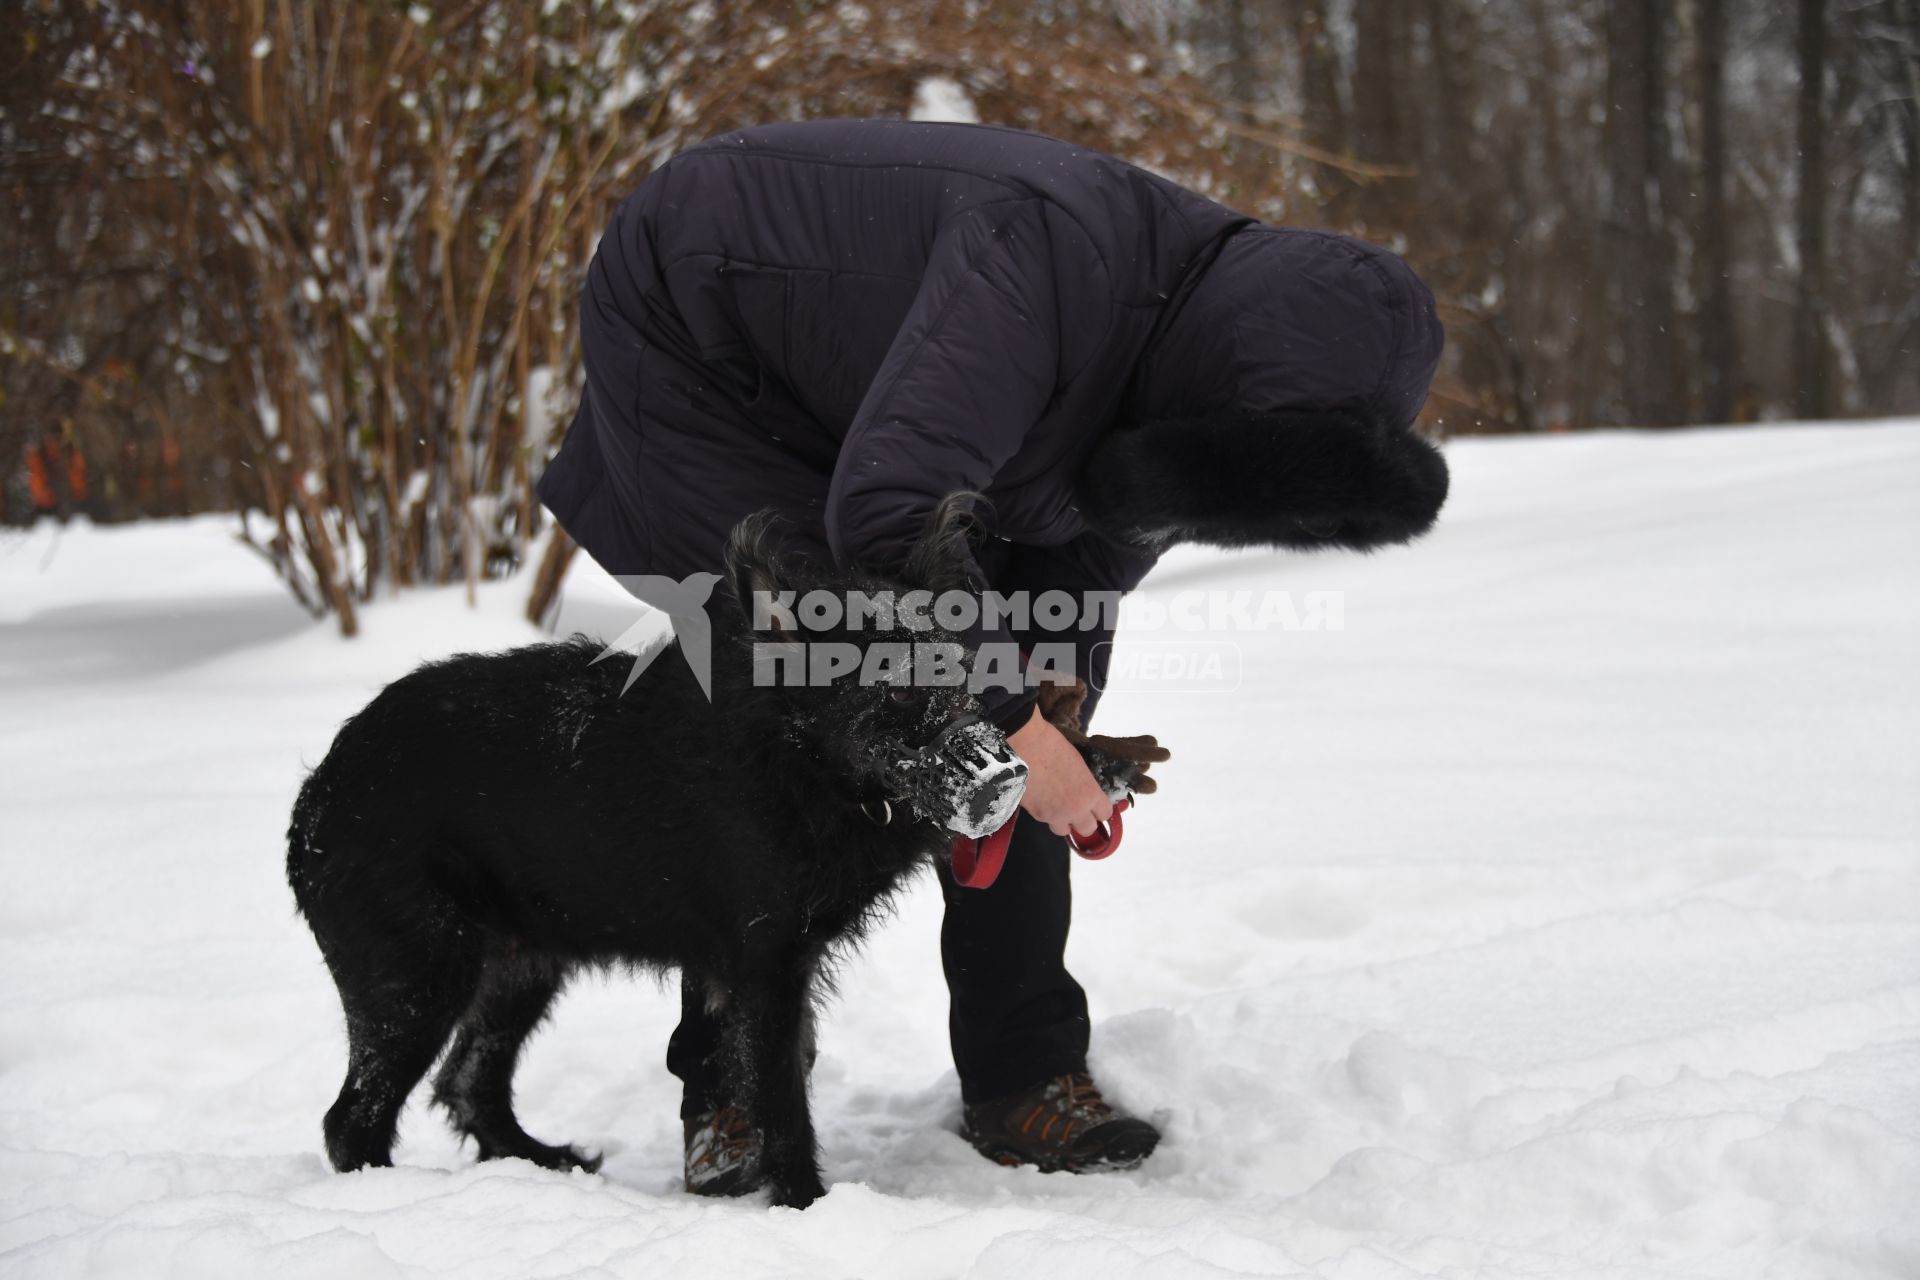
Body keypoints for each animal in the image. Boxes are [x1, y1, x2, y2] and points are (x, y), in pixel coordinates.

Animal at [286, 502, 1121, 1212]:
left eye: (960, 674)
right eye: (888, 699)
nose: (1004, 777)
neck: (797, 753)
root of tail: (318, 792)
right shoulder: (764, 970)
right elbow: (781, 1098)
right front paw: (806, 1206)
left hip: (521, 966)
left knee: (468, 1083)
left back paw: (543, 1166)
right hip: (418, 974)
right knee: (351, 1119)